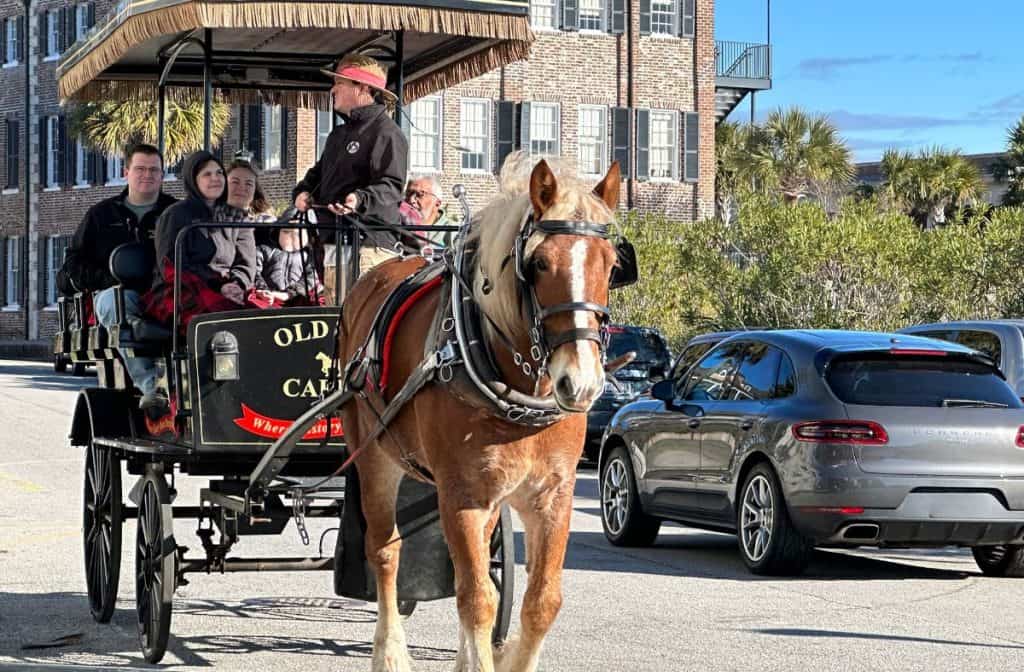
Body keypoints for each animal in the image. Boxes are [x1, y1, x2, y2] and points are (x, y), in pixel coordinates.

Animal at [338, 153, 622, 672]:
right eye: (538, 263)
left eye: (611, 266)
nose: (581, 383)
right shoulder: (461, 496)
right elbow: (476, 599)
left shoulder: (551, 497)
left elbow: (538, 602)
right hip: (374, 458)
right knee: (385, 552)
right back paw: (389, 653)